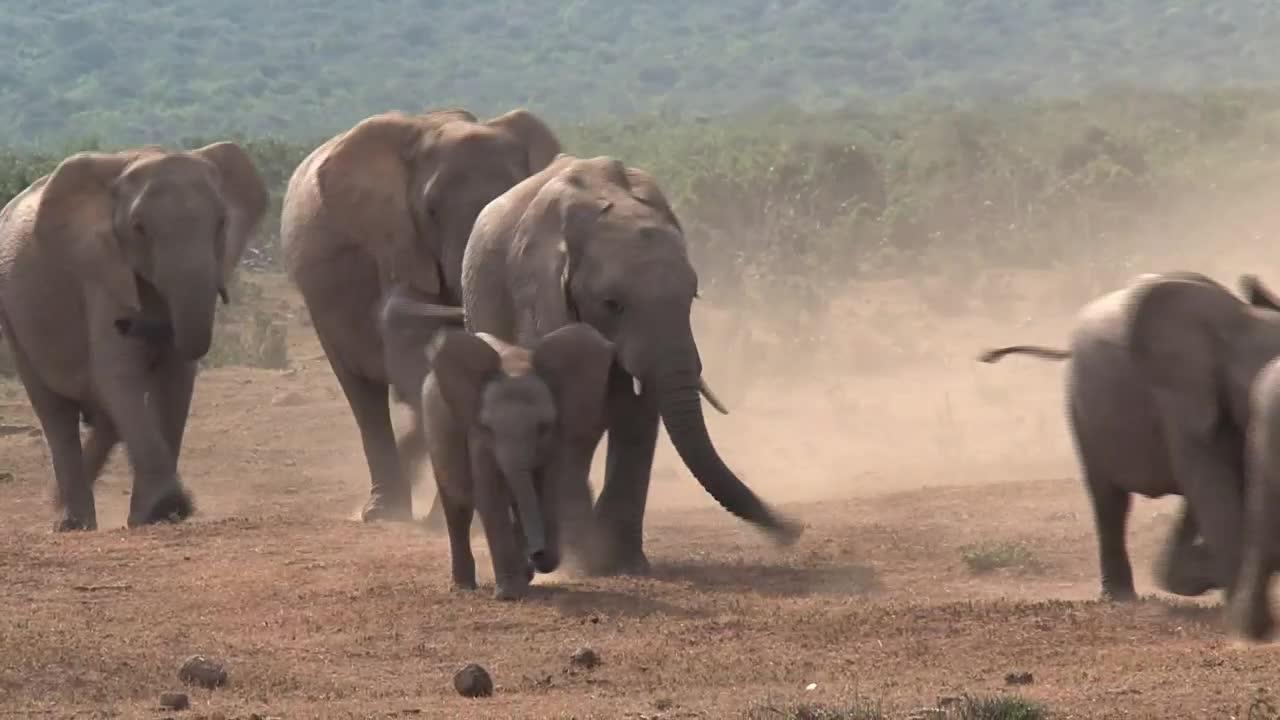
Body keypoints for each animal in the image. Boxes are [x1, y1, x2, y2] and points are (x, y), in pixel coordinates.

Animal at [0, 142, 267, 530]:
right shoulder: (101, 273)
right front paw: (163, 509)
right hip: (14, 318)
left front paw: (161, 514)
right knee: (54, 410)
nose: (128, 323)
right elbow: (118, 375)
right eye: (138, 228)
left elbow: (175, 379)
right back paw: (72, 523)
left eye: (221, 223)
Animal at [280, 106, 560, 520]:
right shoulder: (397, 241)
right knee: (363, 395)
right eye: (430, 211)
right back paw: (382, 510)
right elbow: (415, 356)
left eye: (511, 195)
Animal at [384, 294, 614, 597]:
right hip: (435, 425)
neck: (515, 363)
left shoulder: (556, 437)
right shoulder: (479, 439)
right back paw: (464, 586)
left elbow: (548, 489)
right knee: (457, 506)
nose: (538, 554)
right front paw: (510, 594)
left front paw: (526, 573)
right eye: (488, 428)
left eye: (543, 427)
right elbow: (490, 496)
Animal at [458, 151, 798, 571]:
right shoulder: (537, 297)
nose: (794, 531)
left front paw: (622, 564)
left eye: (692, 296)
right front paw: (586, 560)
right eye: (612, 304)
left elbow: (638, 415)